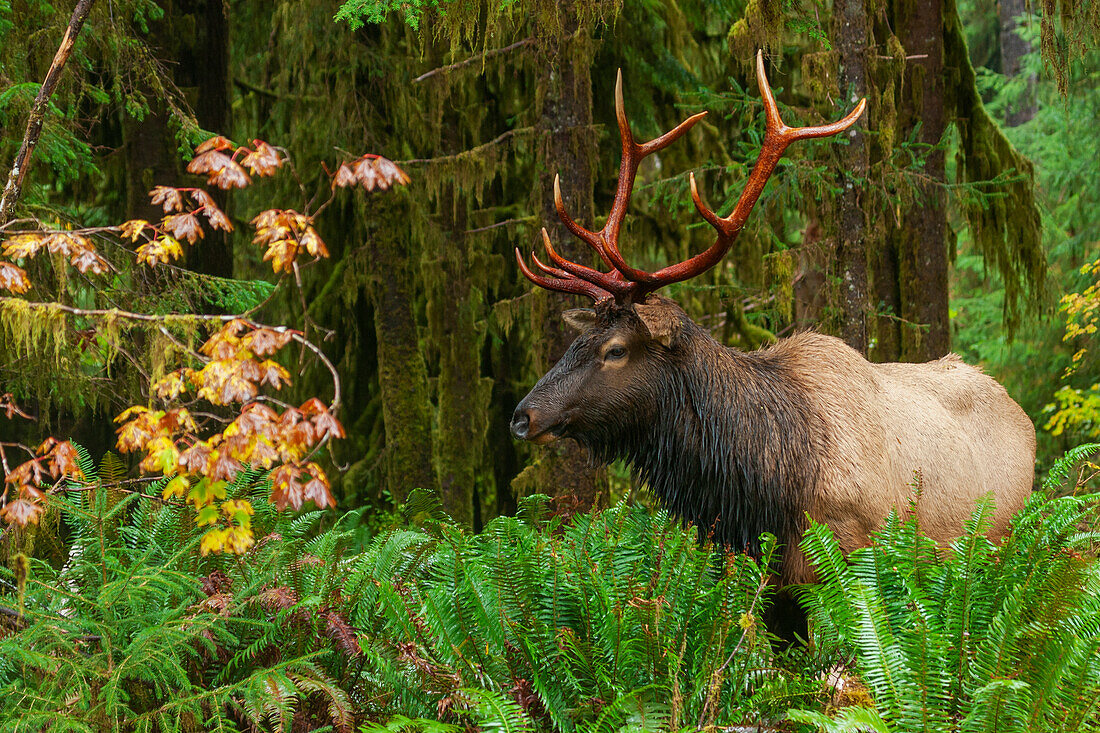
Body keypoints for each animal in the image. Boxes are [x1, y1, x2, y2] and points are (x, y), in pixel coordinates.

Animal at [510, 52, 1034, 589]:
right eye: (576, 341)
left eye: (615, 349)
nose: (522, 416)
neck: (766, 492)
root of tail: (1020, 412)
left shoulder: (850, 559)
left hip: (998, 543)